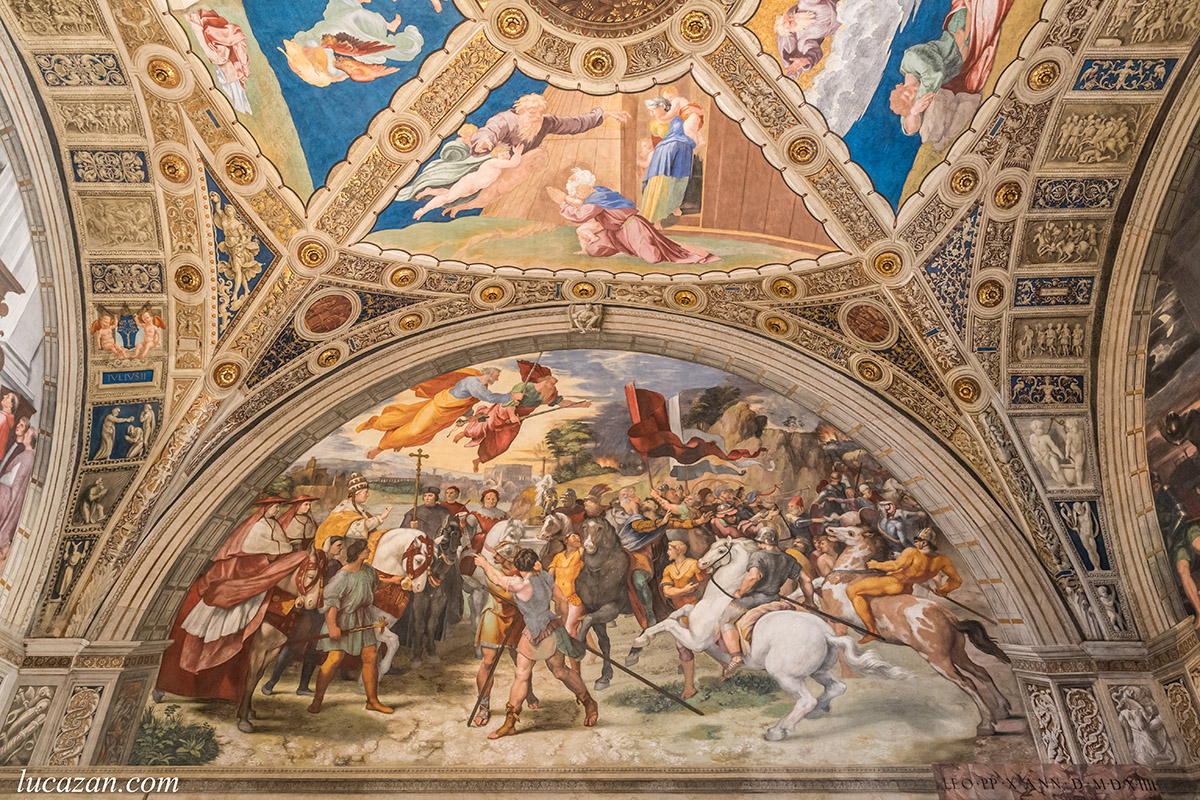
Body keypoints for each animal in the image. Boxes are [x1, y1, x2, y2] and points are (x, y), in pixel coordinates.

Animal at [236, 548, 326, 733]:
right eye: (311, 576)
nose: (313, 603)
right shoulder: (258, 648)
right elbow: (251, 678)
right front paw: (243, 720)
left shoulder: (273, 649)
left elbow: (258, 676)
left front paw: (248, 711)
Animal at [631, 538, 912, 741]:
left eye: (721, 549)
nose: (701, 564)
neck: (718, 598)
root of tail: (827, 635)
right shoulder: (692, 621)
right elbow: (678, 613)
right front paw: (640, 644)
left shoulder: (697, 640)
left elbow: (669, 623)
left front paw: (639, 643)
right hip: (817, 671)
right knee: (836, 688)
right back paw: (817, 711)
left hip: (785, 675)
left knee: (806, 700)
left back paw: (779, 730)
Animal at [818, 521, 1015, 735]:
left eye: (851, 532)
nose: (829, 529)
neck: (848, 575)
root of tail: (947, 616)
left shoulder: (832, 613)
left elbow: (815, 599)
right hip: (957, 654)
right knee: (981, 672)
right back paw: (1002, 709)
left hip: (938, 660)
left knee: (967, 682)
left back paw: (986, 724)